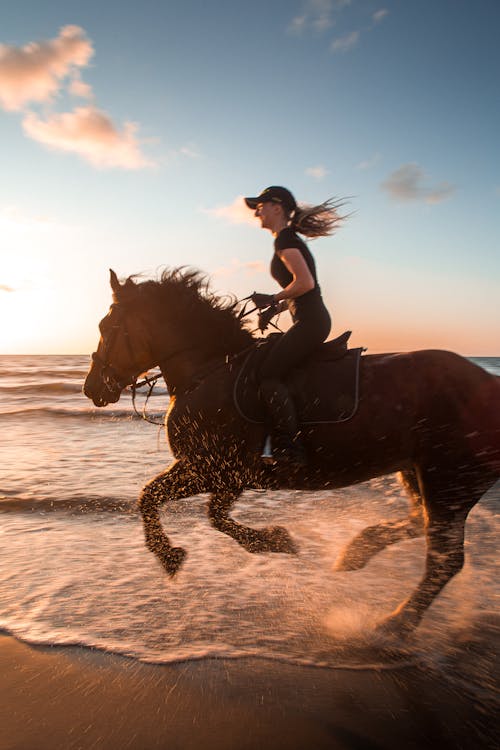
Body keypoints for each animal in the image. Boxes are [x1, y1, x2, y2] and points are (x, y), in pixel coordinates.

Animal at [84, 268, 498, 636]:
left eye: (106, 329)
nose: (91, 388)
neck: (209, 370)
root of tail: (490, 382)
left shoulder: (217, 471)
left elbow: (183, 507)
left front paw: (257, 543)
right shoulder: (215, 473)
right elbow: (172, 503)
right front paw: (265, 541)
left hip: (449, 479)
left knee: (445, 560)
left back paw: (392, 626)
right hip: (415, 471)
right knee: (418, 522)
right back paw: (356, 552)